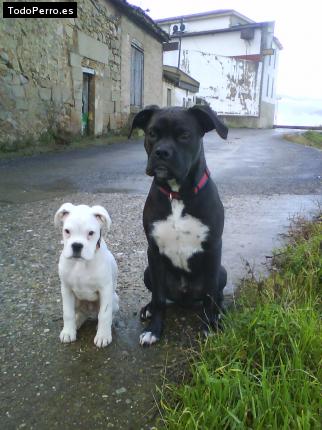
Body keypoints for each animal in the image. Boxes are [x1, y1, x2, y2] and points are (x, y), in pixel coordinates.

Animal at [54, 203, 119, 348]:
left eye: (91, 233)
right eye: (67, 231)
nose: (77, 246)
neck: (80, 263)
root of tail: (91, 312)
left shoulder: (105, 289)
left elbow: (105, 314)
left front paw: (103, 336)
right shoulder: (66, 289)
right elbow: (67, 313)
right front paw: (68, 332)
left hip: (114, 299)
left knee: (106, 314)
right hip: (77, 301)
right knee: (80, 313)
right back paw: (76, 322)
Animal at [130, 104, 228, 346]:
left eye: (184, 135)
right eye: (152, 133)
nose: (161, 153)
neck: (177, 195)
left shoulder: (213, 249)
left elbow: (210, 295)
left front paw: (210, 327)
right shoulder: (154, 251)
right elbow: (158, 298)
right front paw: (154, 329)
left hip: (222, 271)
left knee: (215, 295)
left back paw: (219, 311)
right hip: (148, 272)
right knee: (160, 296)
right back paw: (148, 309)